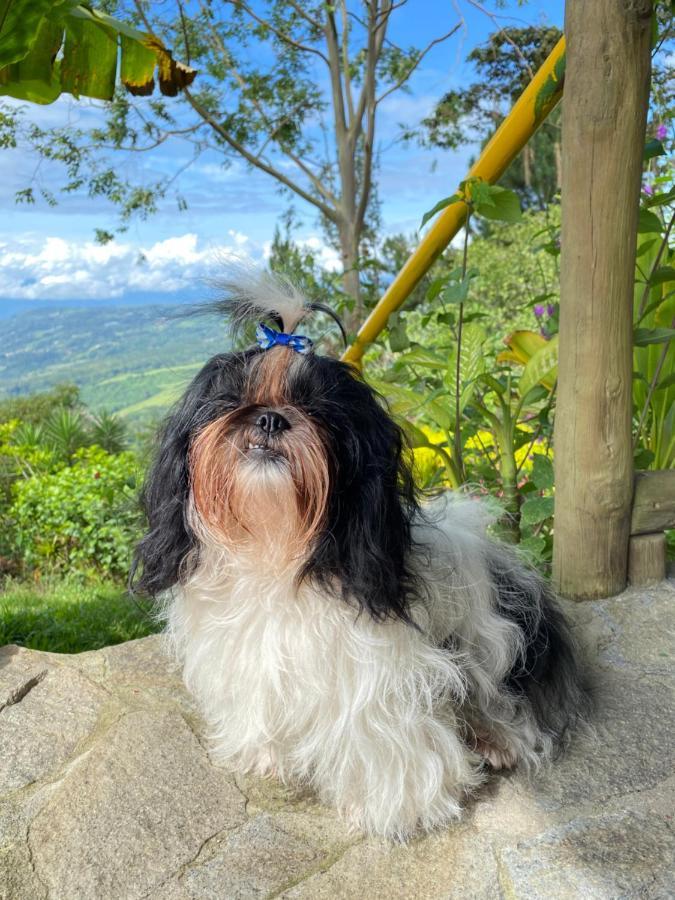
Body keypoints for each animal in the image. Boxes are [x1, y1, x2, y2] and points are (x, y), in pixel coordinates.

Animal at [131, 270, 588, 840]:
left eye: (317, 411)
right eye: (232, 401)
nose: (270, 420)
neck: (275, 550)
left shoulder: (376, 680)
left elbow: (385, 739)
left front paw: (397, 809)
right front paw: (266, 757)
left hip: (496, 637)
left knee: (505, 699)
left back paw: (496, 737)